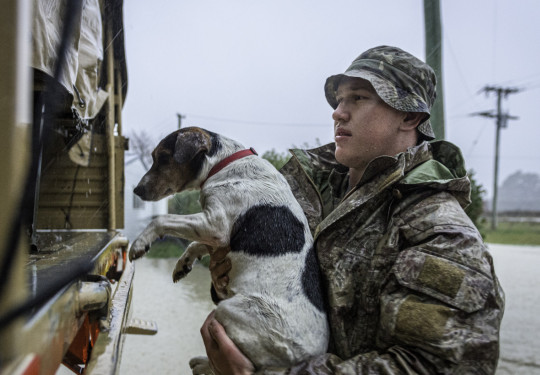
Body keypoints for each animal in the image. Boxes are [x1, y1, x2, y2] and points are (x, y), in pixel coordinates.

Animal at [130, 128, 330, 374]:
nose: (136, 190)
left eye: (164, 157)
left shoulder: (216, 225)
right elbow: (195, 244)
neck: (224, 163)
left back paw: (204, 363)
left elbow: (161, 220)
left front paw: (140, 244)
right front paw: (183, 264)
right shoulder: (215, 235)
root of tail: (303, 360)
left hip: (229, 311)